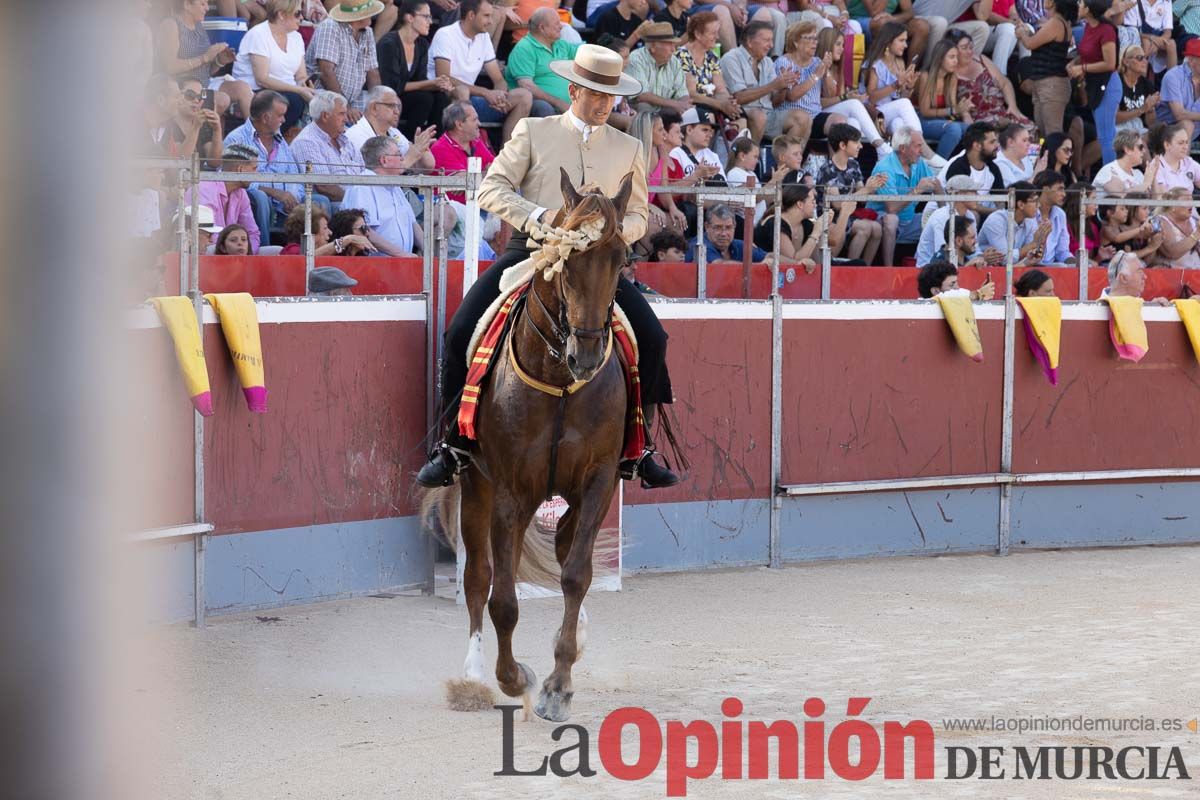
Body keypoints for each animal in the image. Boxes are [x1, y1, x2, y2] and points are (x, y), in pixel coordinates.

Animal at [429, 167, 638, 719]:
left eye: (621, 258)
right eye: (568, 263)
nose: (586, 353)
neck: (560, 379)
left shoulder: (598, 481)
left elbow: (577, 574)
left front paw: (558, 685)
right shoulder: (509, 492)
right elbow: (501, 598)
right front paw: (512, 678)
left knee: (565, 551)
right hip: (476, 489)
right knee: (478, 578)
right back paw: (473, 677)